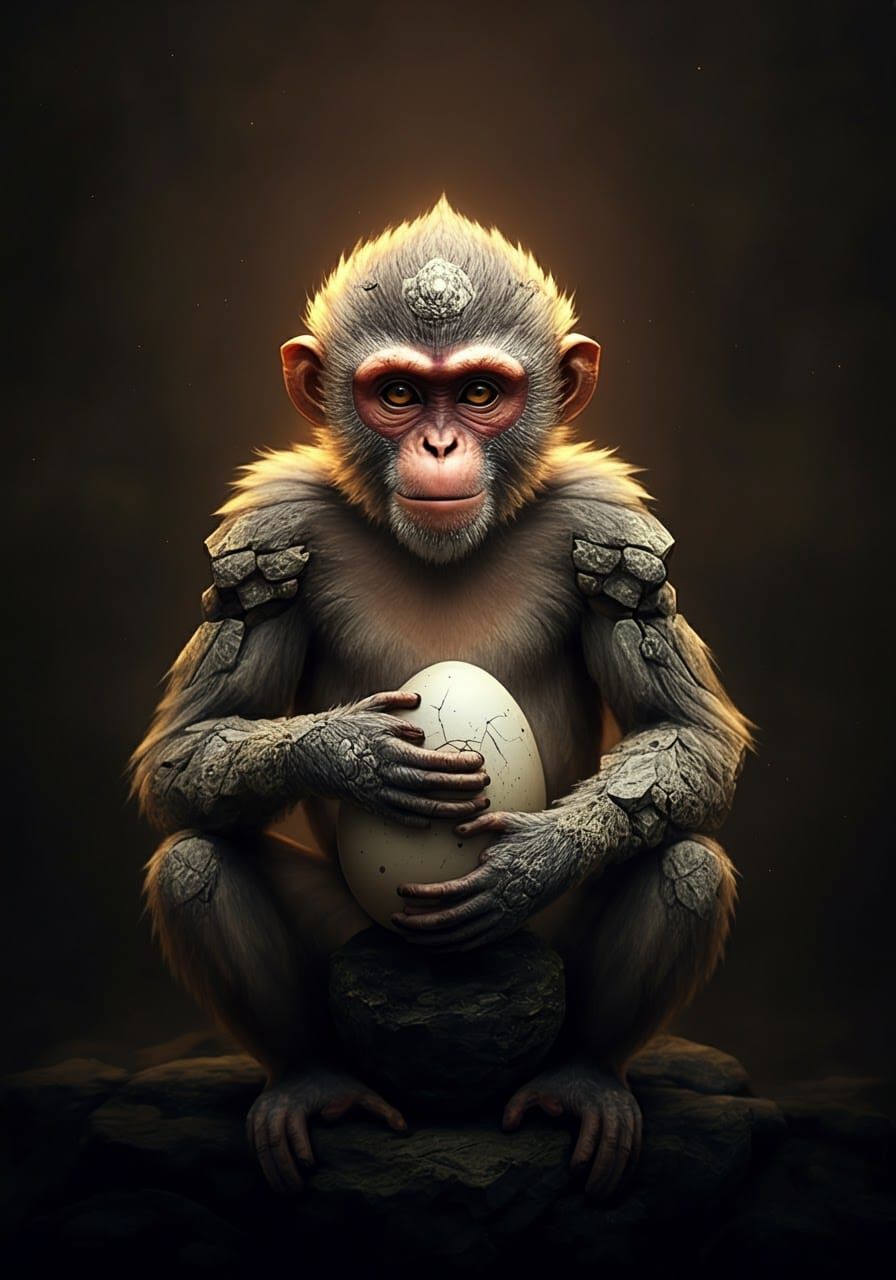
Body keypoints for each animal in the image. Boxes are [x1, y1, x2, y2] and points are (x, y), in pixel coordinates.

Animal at [131, 196, 752, 1202]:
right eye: (397, 395)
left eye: (479, 394)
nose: (439, 443)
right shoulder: (271, 529)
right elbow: (184, 754)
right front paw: (347, 753)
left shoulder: (608, 524)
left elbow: (686, 734)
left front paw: (535, 856)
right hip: (357, 940)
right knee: (195, 861)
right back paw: (311, 1083)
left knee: (686, 862)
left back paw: (583, 1080)